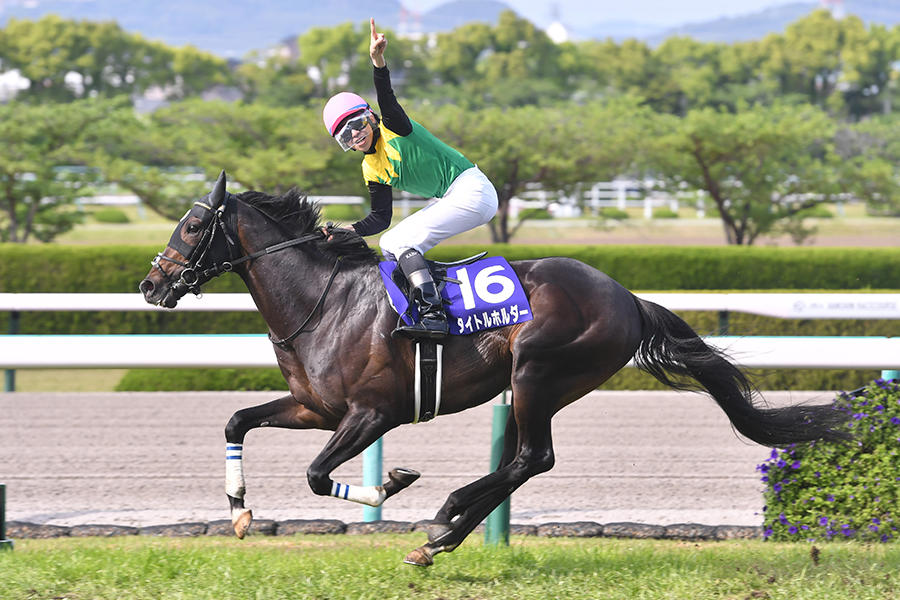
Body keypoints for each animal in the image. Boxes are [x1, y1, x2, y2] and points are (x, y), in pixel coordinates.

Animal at [139, 172, 849, 566]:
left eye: (194, 226)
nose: (151, 285)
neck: (326, 301)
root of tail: (627, 297)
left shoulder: (372, 413)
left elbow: (317, 476)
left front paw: (393, 482)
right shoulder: (317, 408)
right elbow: (237, 419)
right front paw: (238, 512)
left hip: (539, 372)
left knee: (532, 458)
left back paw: (446, 517)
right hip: (533, 383)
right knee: (521, 462)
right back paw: (443, 536)